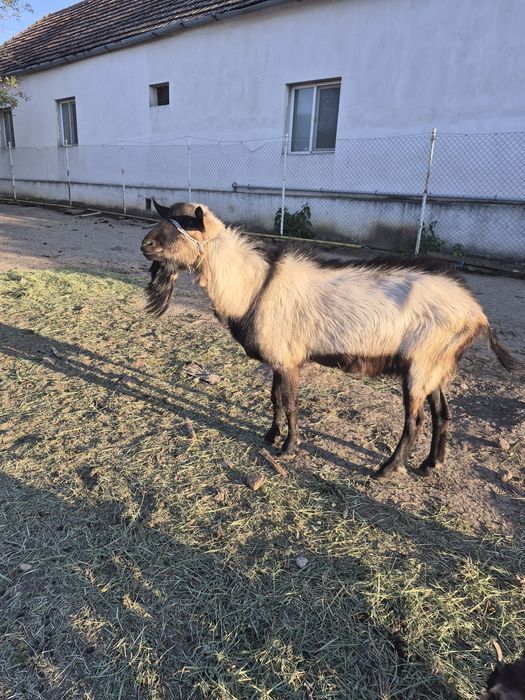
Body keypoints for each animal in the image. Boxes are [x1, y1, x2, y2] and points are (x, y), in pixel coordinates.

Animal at [141, 201, 522, 479]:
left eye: (180, 229)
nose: (145, 245)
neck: (255, 283)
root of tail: (477, 311)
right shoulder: (281, 356)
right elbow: (274, 398)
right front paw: (270, 435)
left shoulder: (289, 359)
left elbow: (290, 403)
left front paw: (288, 448)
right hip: (435, 364)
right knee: (443, 413)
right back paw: (431, 465)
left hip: (421, 365)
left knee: (415, 420)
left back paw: (387, 469)